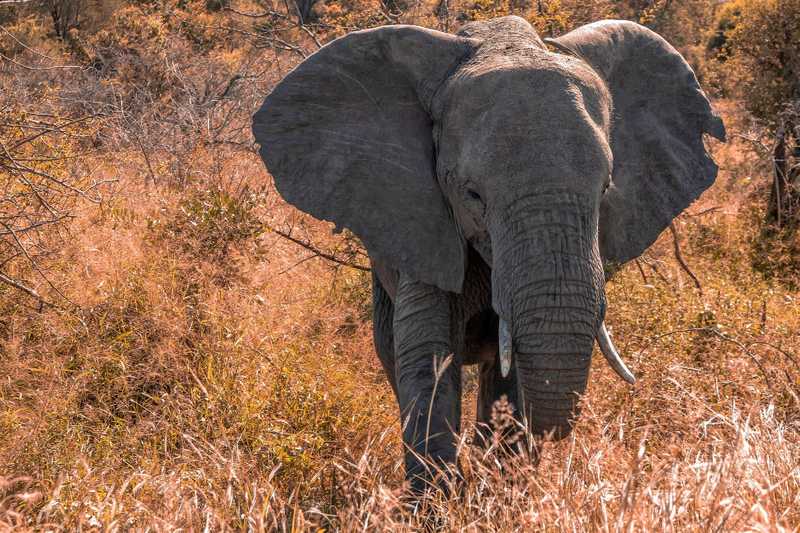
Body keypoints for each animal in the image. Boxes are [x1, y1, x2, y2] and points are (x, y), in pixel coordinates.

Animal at [253, 15, 728, 490]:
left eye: (607, 188)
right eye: (473, 195)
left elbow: (513, 373)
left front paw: (501, 491)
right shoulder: (423, 220)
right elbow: (429, 357)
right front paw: (439, 498)